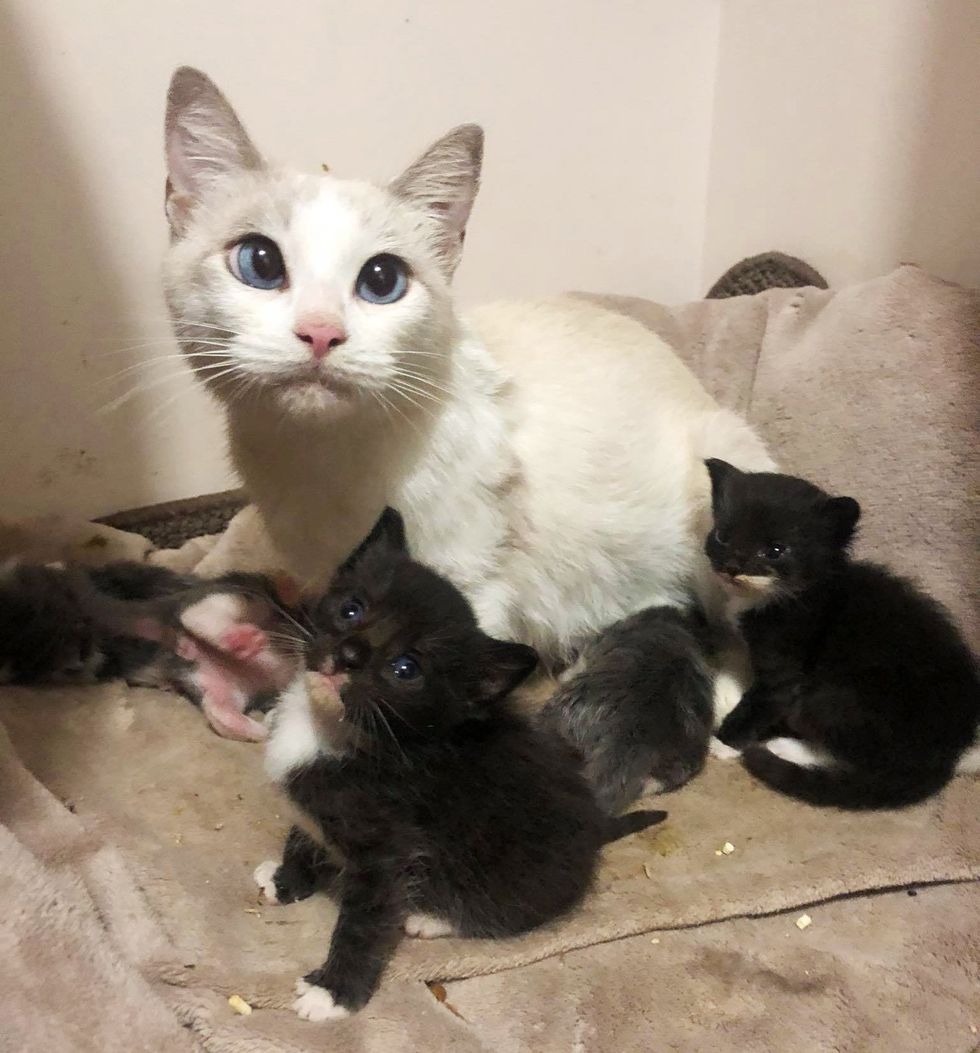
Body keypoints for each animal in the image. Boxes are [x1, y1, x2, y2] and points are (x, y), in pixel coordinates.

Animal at [191, 509, 665, 1019]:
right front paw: (287, 879)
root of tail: (596, 828)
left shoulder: (389, 852)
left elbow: (365, 921)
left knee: (521, 908)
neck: (332, 729)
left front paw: (334, 991)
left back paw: (433, 917)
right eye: (351, 609)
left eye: (406, 669)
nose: (349, 654)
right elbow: (303, 834)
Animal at [543, 602, 711, 812]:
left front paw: (563, 673)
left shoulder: (596, 646)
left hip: (561, 709)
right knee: (664, 779)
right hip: (687, 754)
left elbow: (577, 665)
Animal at [703, 457, 980, 808]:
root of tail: (945, 758)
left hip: (831, 699)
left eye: (776, 550)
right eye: (722, 537)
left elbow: (765, 700)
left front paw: (725, 742)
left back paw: (784, 747)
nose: (732, 567)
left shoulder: (787, 663)